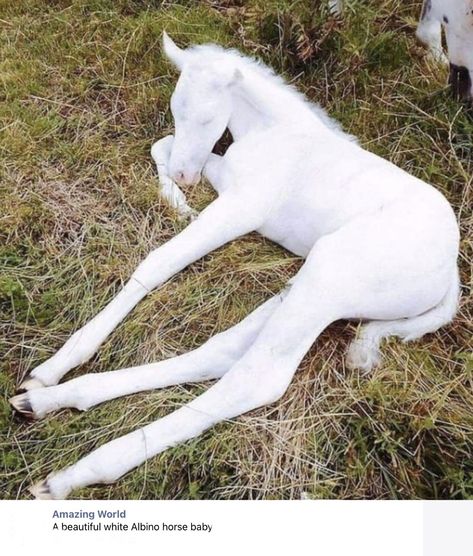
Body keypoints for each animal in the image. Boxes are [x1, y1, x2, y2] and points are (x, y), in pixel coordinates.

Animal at [10, 32, 458, 500]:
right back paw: (46, 397)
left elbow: (158, 261)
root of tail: (451, 277)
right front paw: (177, 201)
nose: (184, 177)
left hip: (327, 281)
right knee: (224, 352)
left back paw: (75, 472)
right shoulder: (224, 177)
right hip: (307, 284)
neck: (276, 134)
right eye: (176, 109)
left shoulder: (241, 208)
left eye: (209, 117)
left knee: (257, 378)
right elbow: (162, 145)